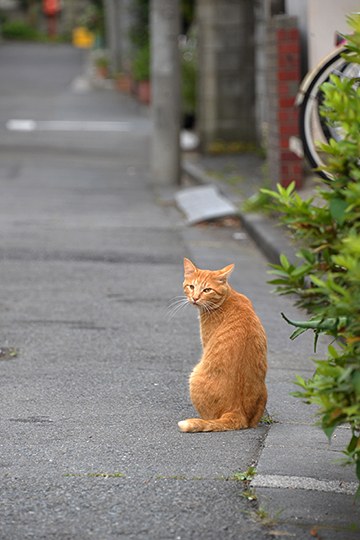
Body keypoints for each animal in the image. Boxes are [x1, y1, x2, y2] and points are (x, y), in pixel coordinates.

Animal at [179, 258, 268, 434]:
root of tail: (236, 412)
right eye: (191, 286)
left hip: (194, 375)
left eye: (207, 290)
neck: (228, 297)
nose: (195, 298)